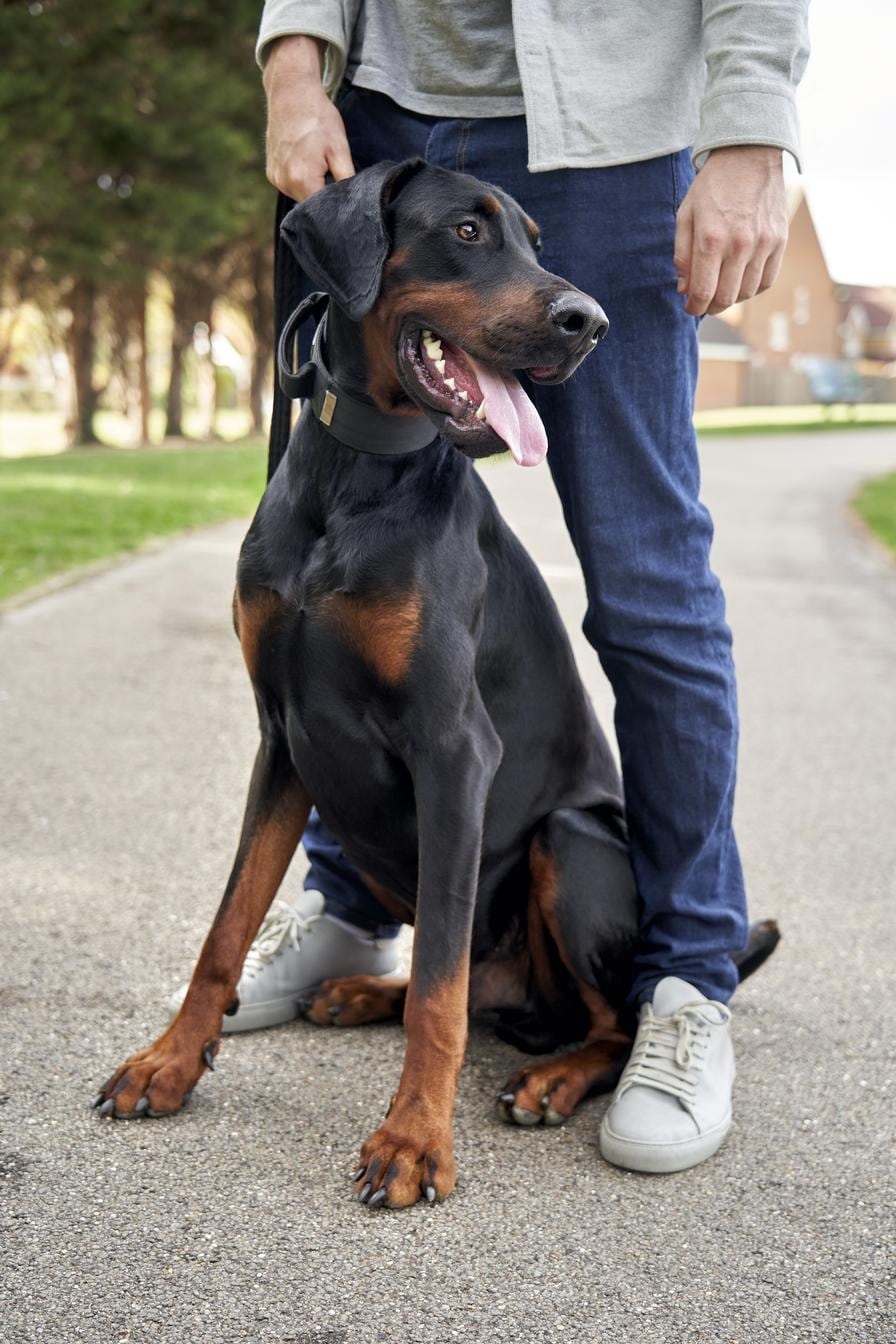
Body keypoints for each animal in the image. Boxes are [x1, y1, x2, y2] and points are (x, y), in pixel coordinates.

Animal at [92, 157, 779, 1209]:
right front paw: (168, 1062)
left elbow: (441, 997)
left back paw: (551, 1079)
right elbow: (226, 927)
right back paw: (356, 988)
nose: (590, 322)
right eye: (466, 231)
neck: (357, 481)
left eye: (538, 240)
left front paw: (414, 1140)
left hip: (569, 841)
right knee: (459, 977)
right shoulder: (283, 738)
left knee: (596, 1017)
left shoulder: (455, 754)